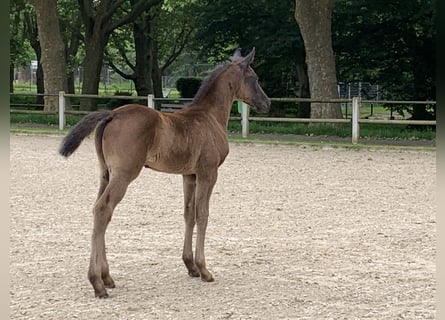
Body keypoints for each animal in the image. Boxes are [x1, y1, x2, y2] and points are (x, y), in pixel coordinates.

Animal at [59, 47, 270, 298]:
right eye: (255, 78)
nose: (267, 103)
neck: (210, 117)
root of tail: (112, 114)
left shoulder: (189, 175)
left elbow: (189, 215)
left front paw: (190, 266)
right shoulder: (208, 173)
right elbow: (203, 214)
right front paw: (204, 269)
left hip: (106, 174)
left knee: (97, 210)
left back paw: (107, 277)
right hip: (124, 174)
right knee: (103, 209)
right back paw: (97, 283)